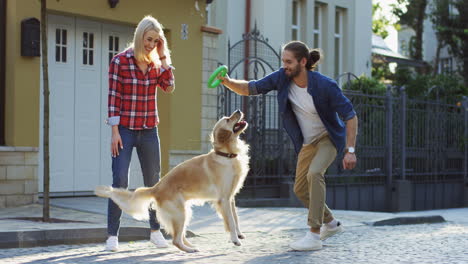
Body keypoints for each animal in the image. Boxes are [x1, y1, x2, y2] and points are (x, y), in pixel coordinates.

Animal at [94, 109, 249, 252]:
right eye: (228, 119)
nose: (238, 110)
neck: (226, 155)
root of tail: (156, 188)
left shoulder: (231, 198)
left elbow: (236, 218)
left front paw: (239, 235)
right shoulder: (223, 199)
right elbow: (231, 221)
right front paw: (235, 239)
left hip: (184, 211)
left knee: (180, 236)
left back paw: (192, 246)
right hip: (180, 213)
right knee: (176, 240)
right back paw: (190, 249)